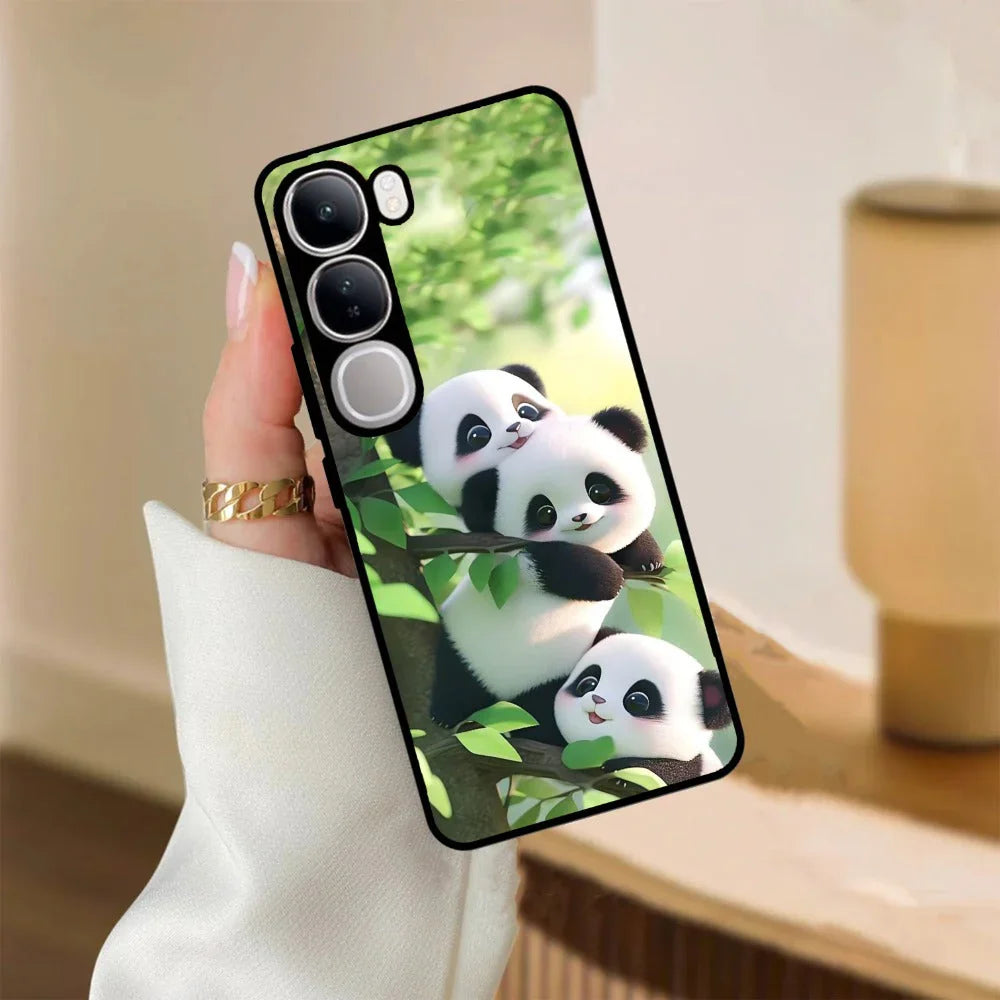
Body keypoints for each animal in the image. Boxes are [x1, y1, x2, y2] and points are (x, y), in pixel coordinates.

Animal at [430, 407, 663, 737]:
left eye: (598, 489)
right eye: (545, 512)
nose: (580, 518)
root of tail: (504, 698)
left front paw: (648, 559)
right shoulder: (510, 554)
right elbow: (553, 564)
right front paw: (609, 578)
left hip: (555, 677)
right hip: (464, 645)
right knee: (455, 676)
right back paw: (446, 713)